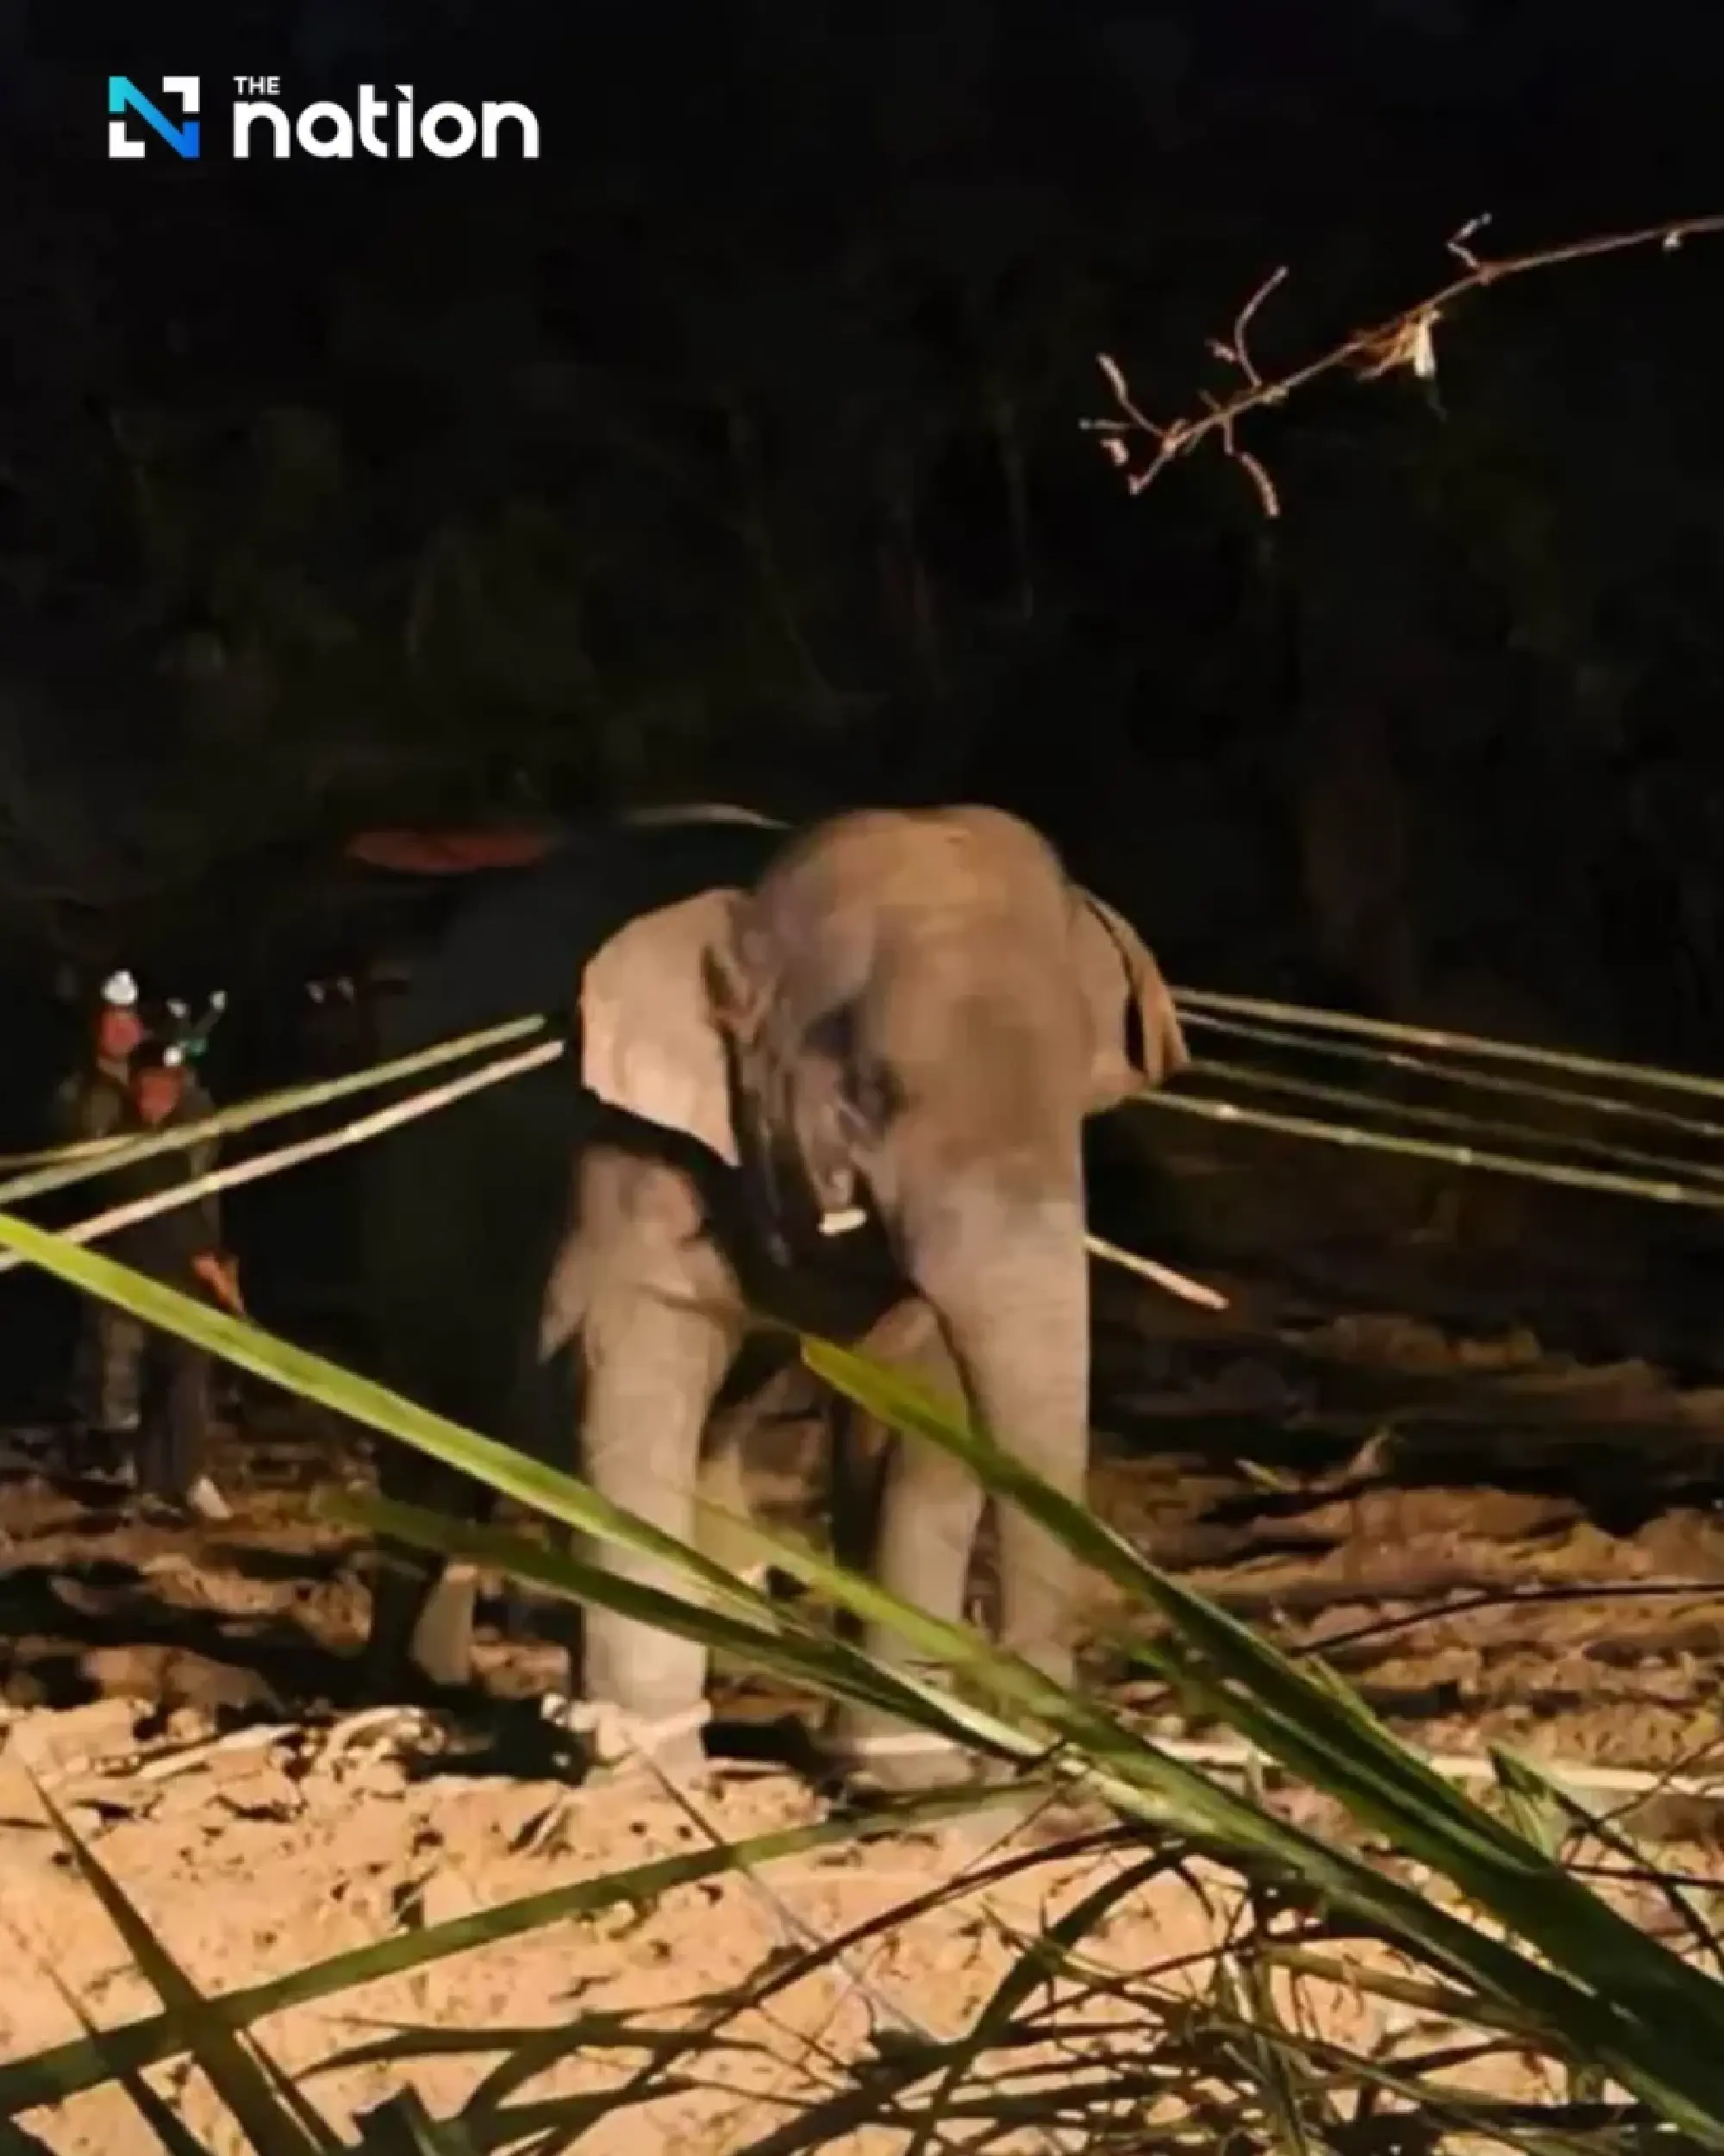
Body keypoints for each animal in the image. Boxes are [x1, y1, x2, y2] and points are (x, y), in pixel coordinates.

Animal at [358, 803, 1188, 1787]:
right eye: (869, 1092)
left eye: (1076, 1093)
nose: (1036, 1747)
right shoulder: (626, 1147)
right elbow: (615, 1368)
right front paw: (649, 1770)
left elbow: (916, 1407)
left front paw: (901, 1771)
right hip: (418, 1200)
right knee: (434, 1412)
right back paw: (420, 1688)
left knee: (718, 1417)